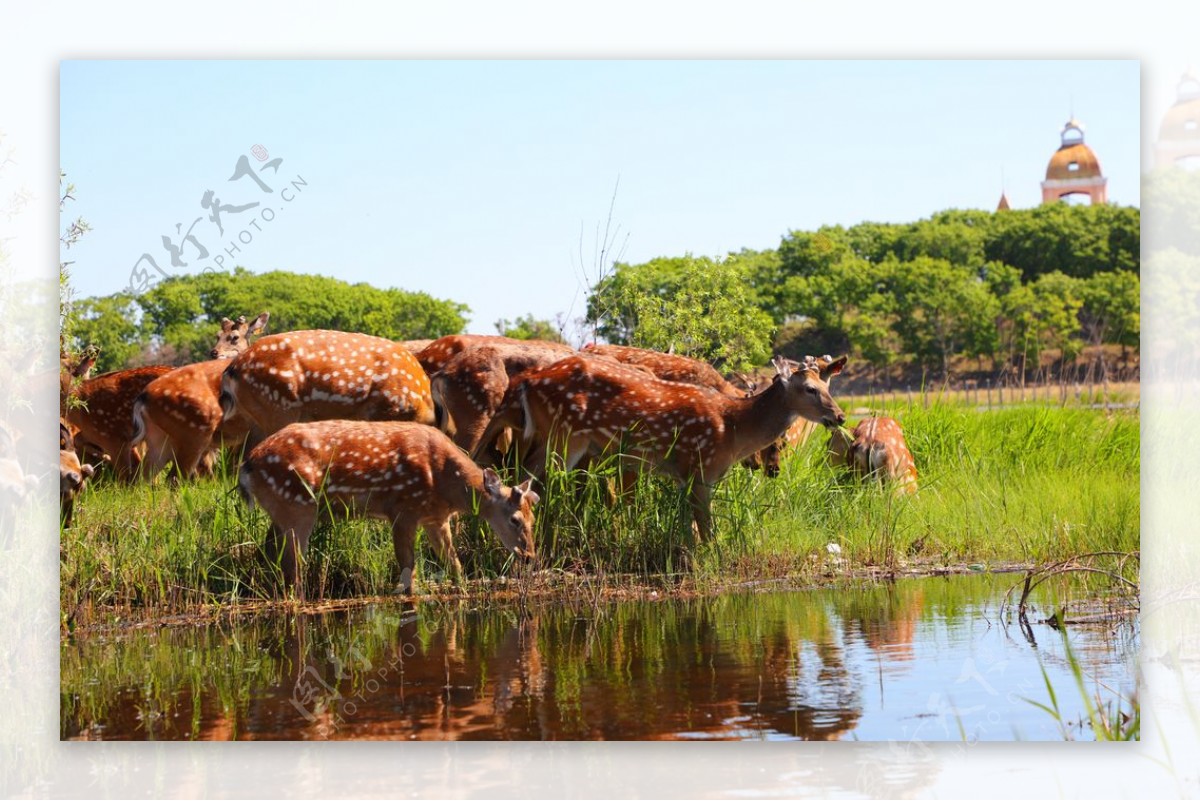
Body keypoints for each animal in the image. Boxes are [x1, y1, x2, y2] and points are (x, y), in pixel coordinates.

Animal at [238, 419, 540, 594]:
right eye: (514, 519)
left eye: (533, 519)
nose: (529, 556)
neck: (445, 484)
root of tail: (247, 465)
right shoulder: (402, 510)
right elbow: (409, 570)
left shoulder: (436, 518)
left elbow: (454, 564)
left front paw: (463, 590)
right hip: (298, 505)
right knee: (293, 566)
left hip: (281, 509)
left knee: (269, 553)